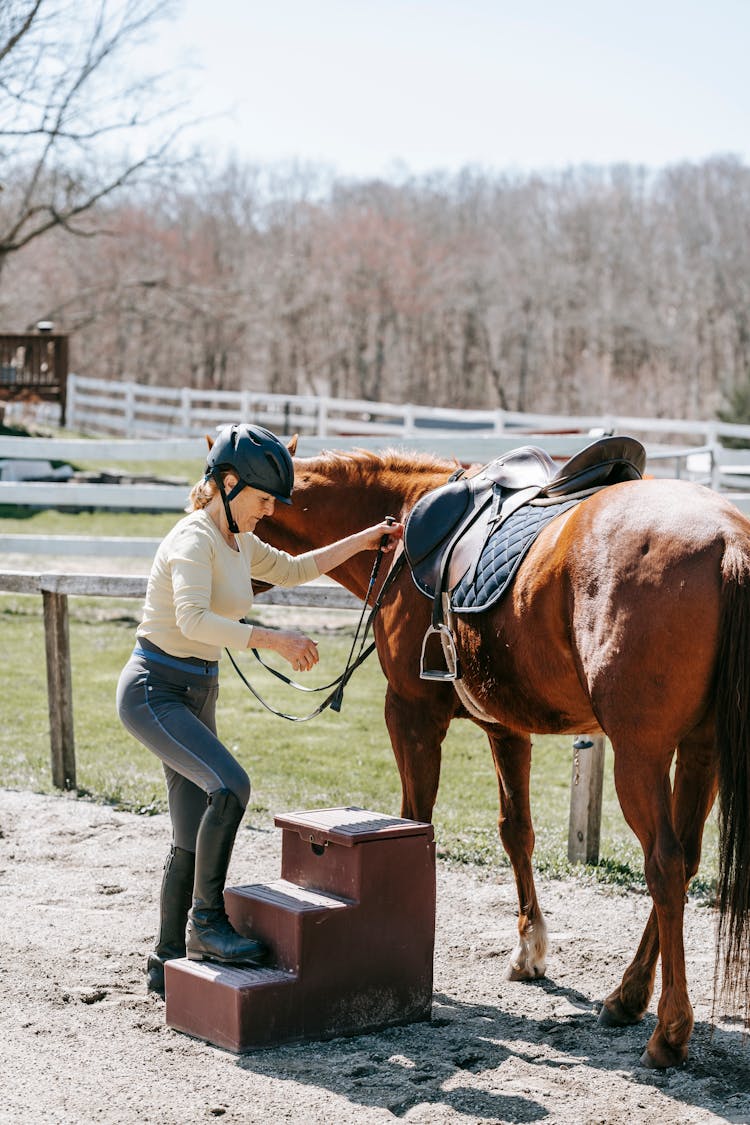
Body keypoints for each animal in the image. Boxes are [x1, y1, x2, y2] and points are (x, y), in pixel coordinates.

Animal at [254, 436, 750, 1062]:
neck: (403, 527)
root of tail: (728, 539)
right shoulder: (506, 729)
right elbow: (517, 832)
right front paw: (529, 950)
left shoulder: (411, 714)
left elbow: (413, 821)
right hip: (700, 751)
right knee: (684, 862)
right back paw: (628, 996)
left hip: (642, 754)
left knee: (663, 866)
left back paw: (668, 1032)